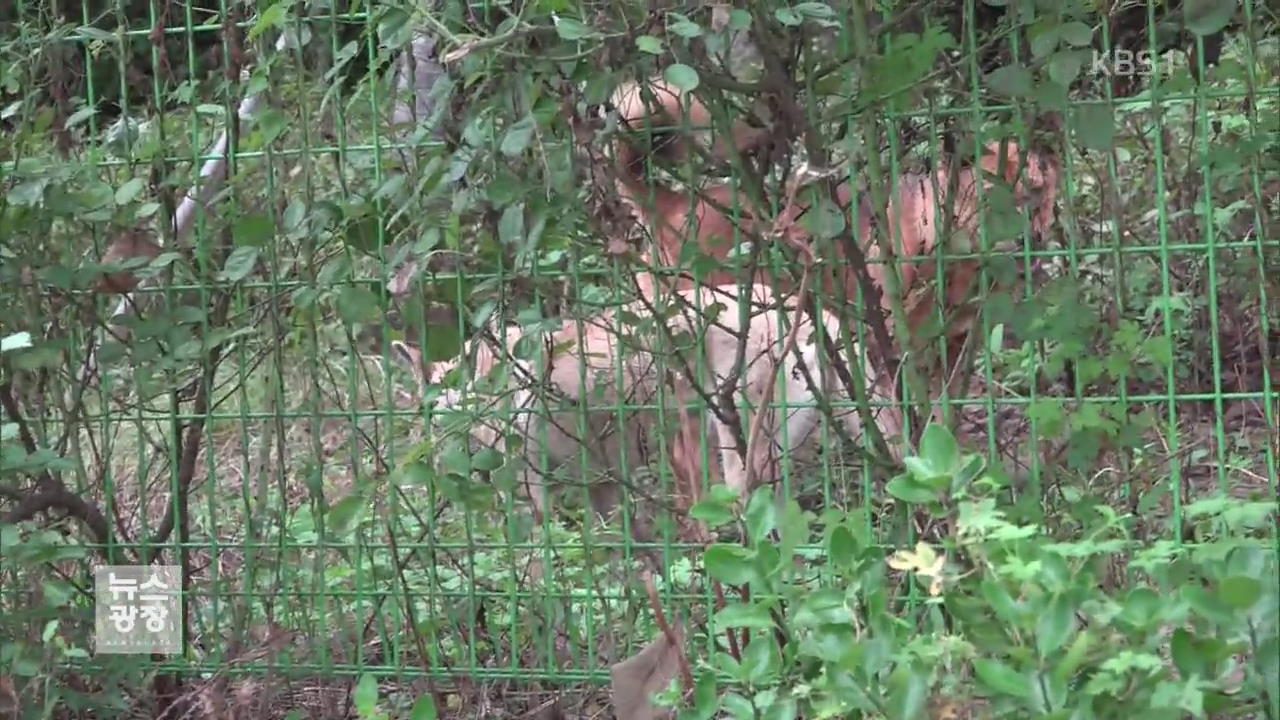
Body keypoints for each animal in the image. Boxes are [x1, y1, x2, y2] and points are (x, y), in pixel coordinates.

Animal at [389, 281, 901, 520]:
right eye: (434, 413)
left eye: (460, 410)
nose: (454, 457)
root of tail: (820, 318)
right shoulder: (602, 480)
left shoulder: (530, 484)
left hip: (740, 446)